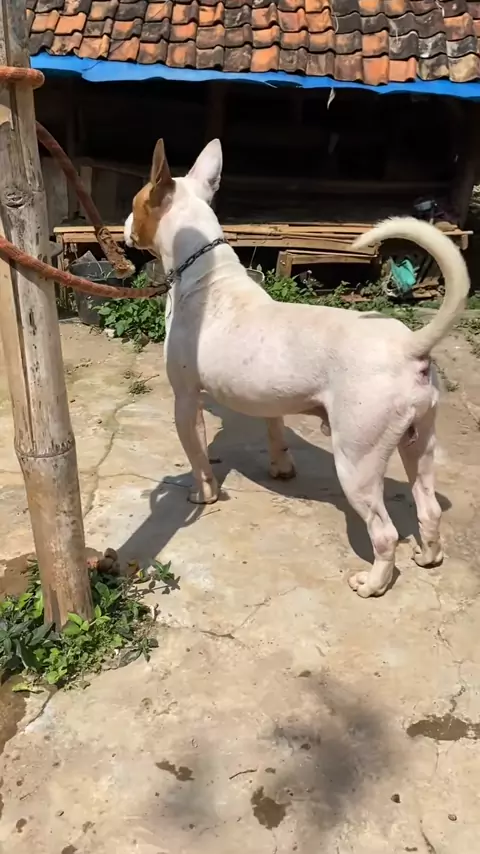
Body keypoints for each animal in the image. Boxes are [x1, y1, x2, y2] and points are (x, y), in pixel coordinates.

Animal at [125, 139, 469, 598]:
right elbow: (275, 430)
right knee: (429, 508)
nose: (123, 225)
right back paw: (427, 556)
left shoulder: (185, 400)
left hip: (356, 461)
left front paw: (203, 494)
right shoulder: (268, 400)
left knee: (384, 533)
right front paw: (281, 468)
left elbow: (196, 456)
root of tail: (409, 345)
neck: (203, 274)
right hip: (420, 442)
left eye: (136, 203)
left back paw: (372, 583)